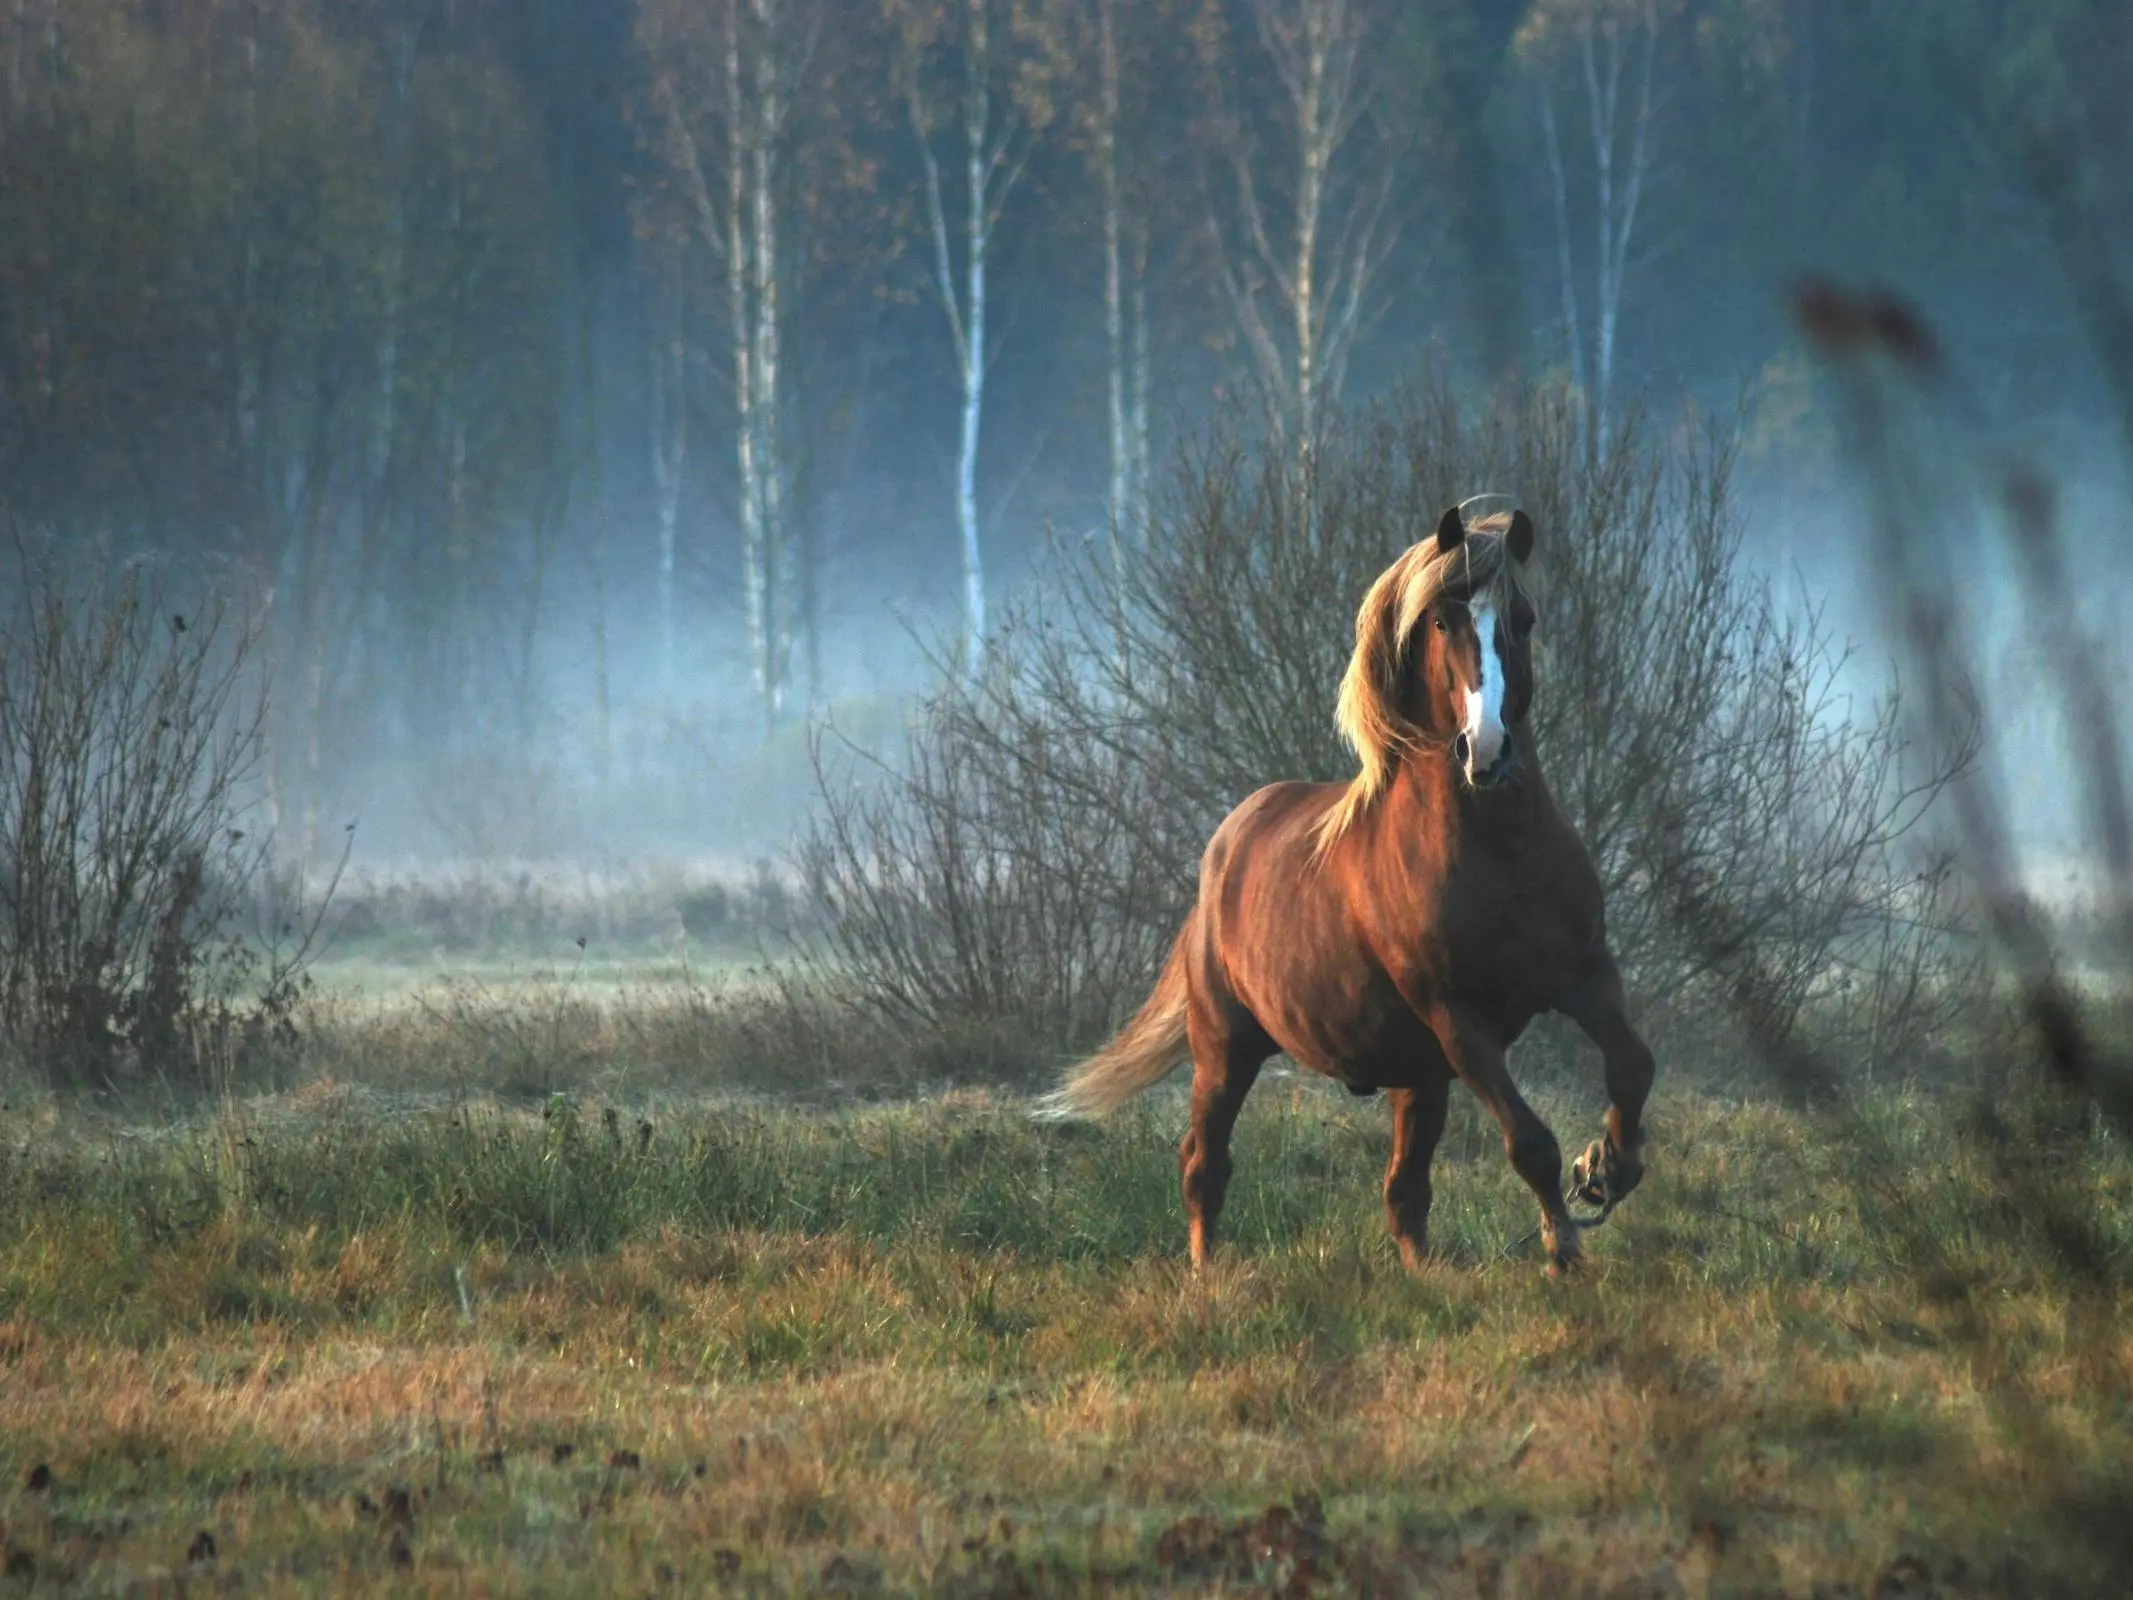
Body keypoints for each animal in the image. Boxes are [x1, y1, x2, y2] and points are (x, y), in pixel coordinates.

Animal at [1040, 507, 1655, 1288]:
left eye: (1524, 619)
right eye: (1441, 622)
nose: (1486, 751)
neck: (1499, 853)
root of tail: (1225, 849)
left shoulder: (1582, 973)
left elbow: (1631, 1066)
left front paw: (1607, 1168)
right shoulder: (1459, 1018)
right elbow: (1529, 1141)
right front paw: (1565, 1247)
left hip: (1417, 1075)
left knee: (1404, 1189)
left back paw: (1424, 1275)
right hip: (1226, 1046)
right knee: (1203, 1163)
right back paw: (1207, 1273)